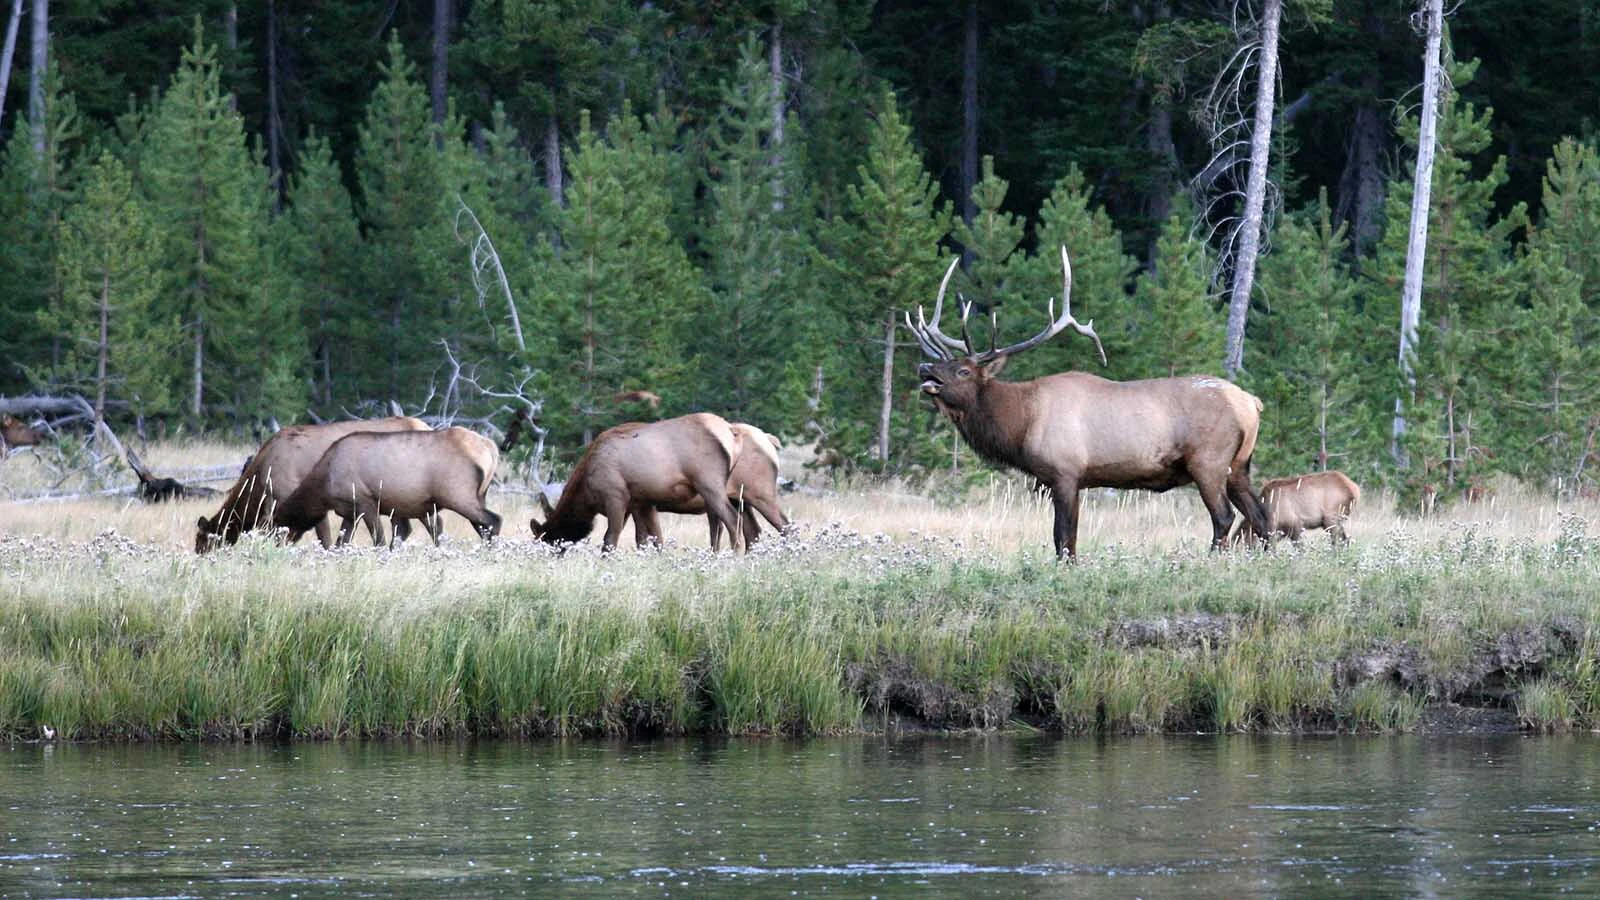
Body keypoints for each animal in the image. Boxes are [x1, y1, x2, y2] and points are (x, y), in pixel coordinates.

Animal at [906, 247, 1270, 559]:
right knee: (1261, 515)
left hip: (1209, 461)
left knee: (1224, 517)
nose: (924, 367)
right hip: (1239, 465)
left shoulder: (1065, 472)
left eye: (963, 370)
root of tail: (1252, 403)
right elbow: (1067, 538)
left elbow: (1064, 538)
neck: (1022, 424)